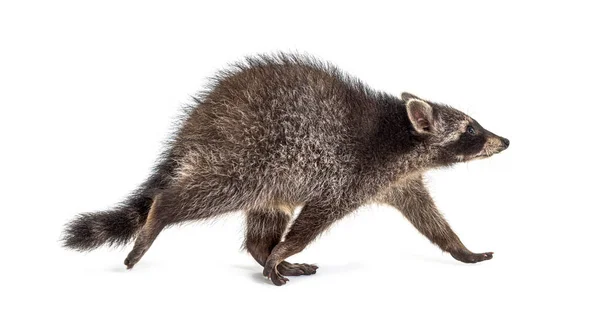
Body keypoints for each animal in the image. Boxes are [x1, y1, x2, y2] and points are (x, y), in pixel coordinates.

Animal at [63, 53, 508, 286]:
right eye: (470, 129)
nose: (504, 141)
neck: (399, 134)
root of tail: (195, 125)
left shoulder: (397, 180)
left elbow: (429, 218)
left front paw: (459, 247)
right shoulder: (349, 175)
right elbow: (314, 218)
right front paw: (284, 249)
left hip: (270, 177)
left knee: (264, 219)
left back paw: (264, 252)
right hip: (245, 158)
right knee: (205, 193)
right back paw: (163, 213)